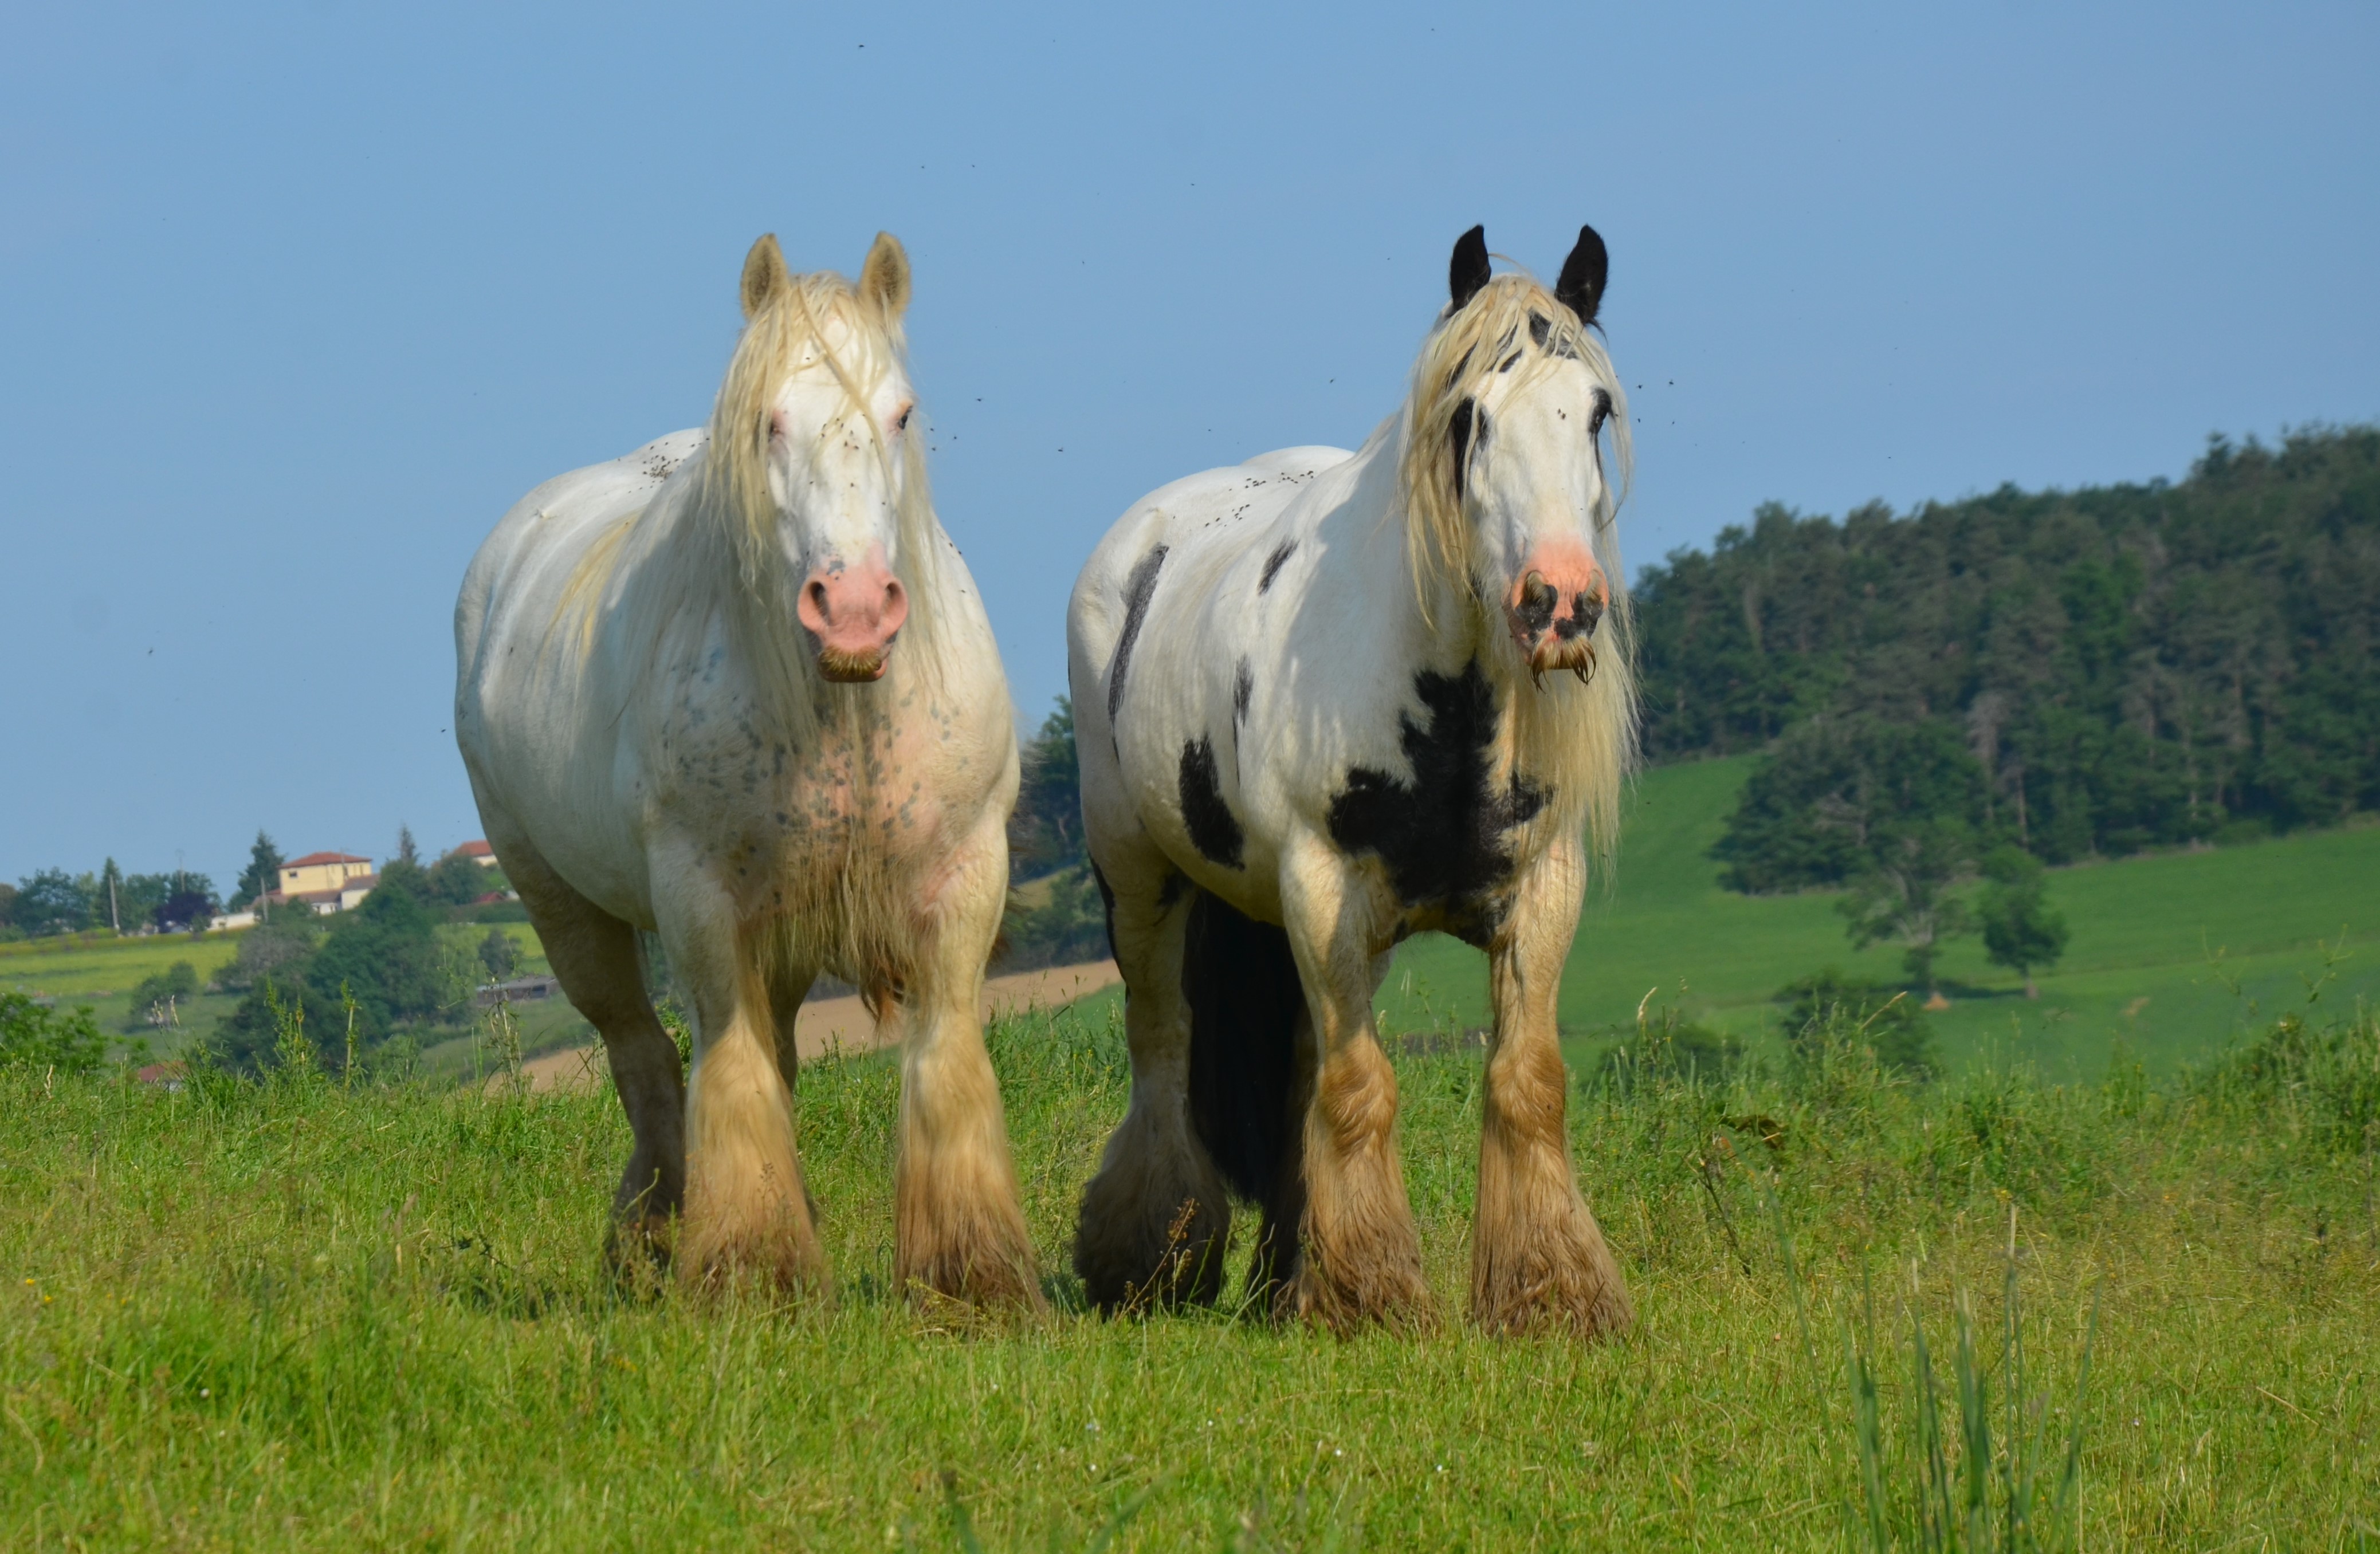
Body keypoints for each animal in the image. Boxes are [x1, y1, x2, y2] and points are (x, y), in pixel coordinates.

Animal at [453, 233, 1039, 1306]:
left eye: (901, 413)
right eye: (769, 421)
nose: (854, 610)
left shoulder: (962, 880)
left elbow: (944, 1065)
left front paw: (970, 1275)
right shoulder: (700, 900)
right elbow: (728, 1072)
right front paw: (747, 1266)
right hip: (562, 909)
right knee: (644, 1061)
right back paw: (649, 1236)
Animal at [1067, 224, 1637, 1335]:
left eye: (1593, 410)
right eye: (1469, 415)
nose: (1559, 601)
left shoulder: (1540, 892)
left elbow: (1523, 1082)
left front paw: (1548, 1292)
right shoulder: (1324, 884)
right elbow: (1362, 1087)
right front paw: (1370, 1295)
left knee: (1295, 1078)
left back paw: (1282, 1271)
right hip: (1142, 883)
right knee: (1162, 1050)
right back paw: (1151, 1258)